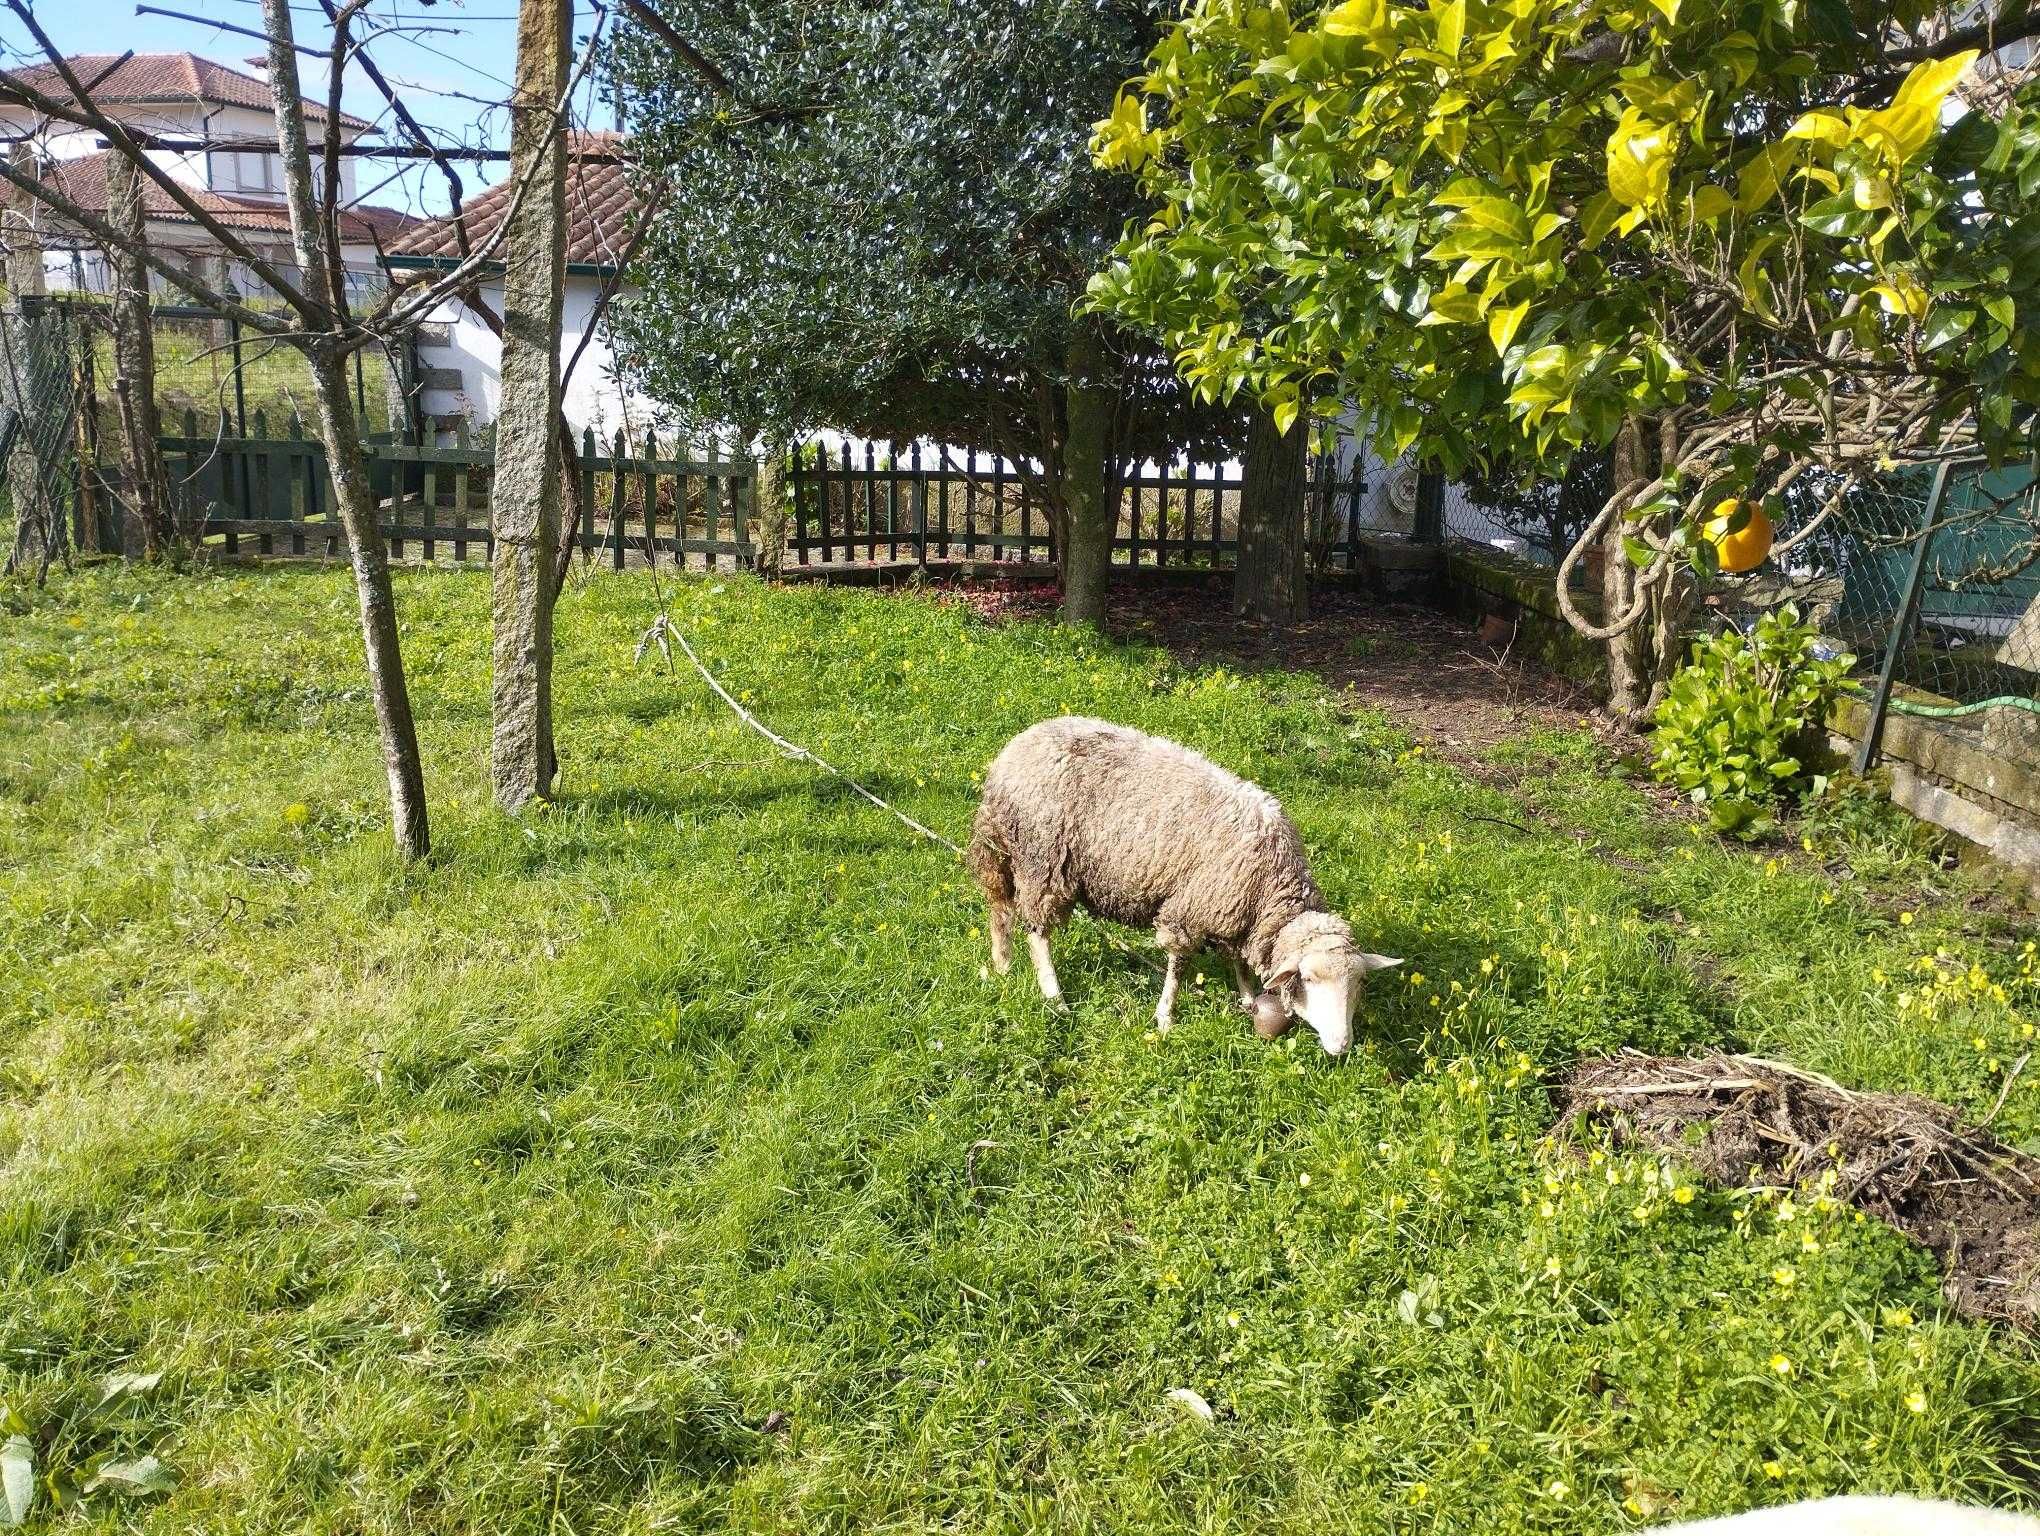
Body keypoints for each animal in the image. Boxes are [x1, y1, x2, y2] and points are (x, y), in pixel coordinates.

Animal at [962, 713, 1395, 1052]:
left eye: (1358, 983)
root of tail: (1014, 750)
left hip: (1007, 848)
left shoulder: (1232, 911)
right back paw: (1054, 996)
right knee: (1037, 930)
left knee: (999, 906)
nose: (1342, 1046)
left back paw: (1002, 963)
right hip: (1044, 858)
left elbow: (1237, 959)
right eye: (1308, 978)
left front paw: (1247, 997)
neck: (1269, 888)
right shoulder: (1189, 909)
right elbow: (1179, 966)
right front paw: (1166, 1017)